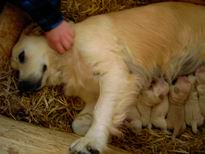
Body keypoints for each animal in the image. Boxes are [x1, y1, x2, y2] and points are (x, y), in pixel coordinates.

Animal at [10, 2, 205, 154]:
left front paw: (91, 141)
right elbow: (78, 123)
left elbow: (101, 111)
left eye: (21, 56)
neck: (68, 59)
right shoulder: (92, 95)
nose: (22, 87)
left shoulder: (115, 73)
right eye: (15, 69)